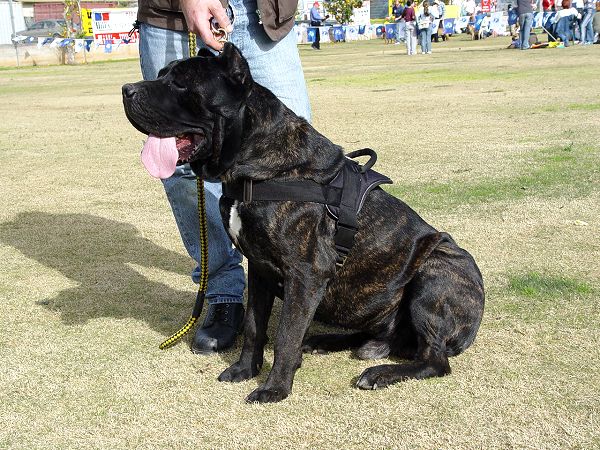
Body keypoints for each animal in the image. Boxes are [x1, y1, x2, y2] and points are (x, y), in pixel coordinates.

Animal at [124, 44, 486, 402]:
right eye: (161, 74)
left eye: (181, 84)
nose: (126, 90)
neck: (255, 167)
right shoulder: (259, 268)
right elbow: (255, 326)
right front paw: (244, 370)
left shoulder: (306, 273)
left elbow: (286, 334)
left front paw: (274, 388)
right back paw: (325, 342)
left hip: (438, 269)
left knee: (435, 360)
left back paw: (379, 374)